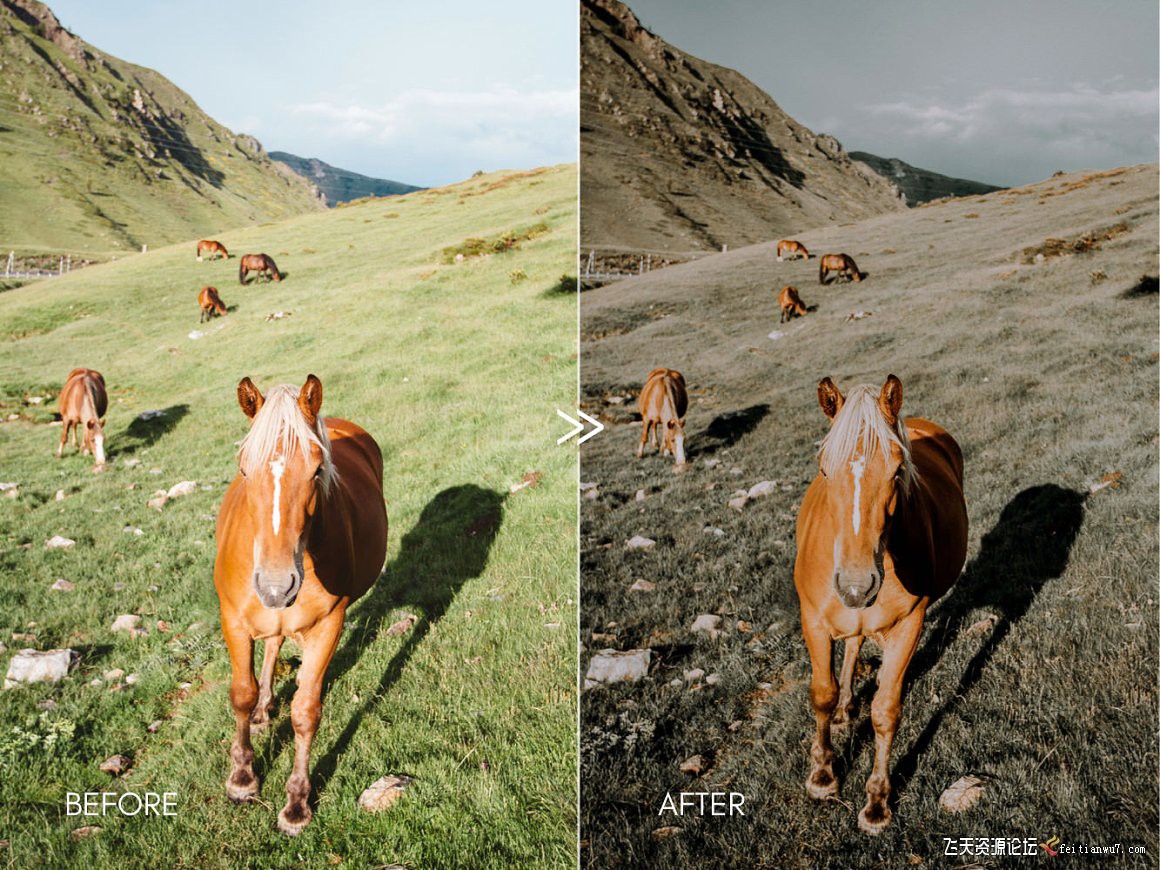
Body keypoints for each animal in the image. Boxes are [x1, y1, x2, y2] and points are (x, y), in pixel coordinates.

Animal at [211, 375, 387, 839]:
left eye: (317, 470)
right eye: (243, 469)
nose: (276, 585)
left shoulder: (328, 625)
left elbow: (306, 712)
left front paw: (296, 804)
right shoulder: (233, 620)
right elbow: (240, 693)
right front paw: (242, 779)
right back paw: (262, 708)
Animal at [793, 375, 965, 839]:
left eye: (897, 470)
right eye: (823, 469)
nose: (856, 585)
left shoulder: (909, 625)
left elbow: (886, 711)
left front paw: (876, 803)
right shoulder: (813, 620)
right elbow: (821, 693)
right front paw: (822, 776)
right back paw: (844, 708)